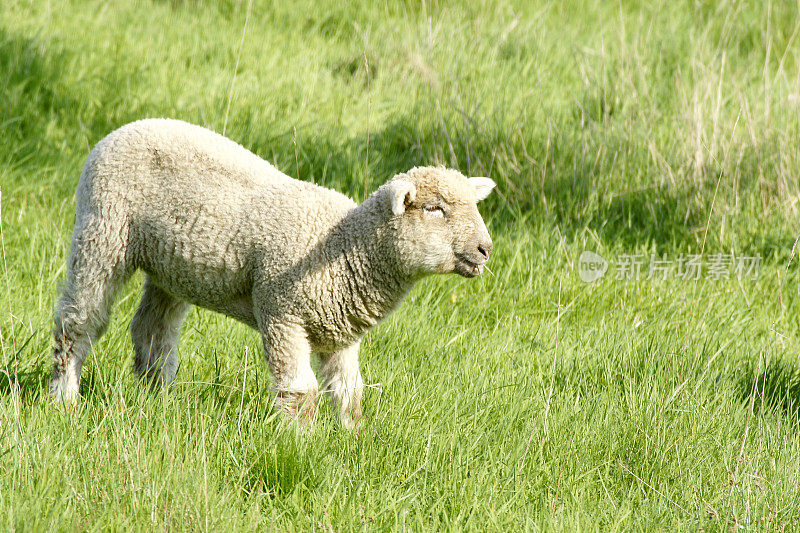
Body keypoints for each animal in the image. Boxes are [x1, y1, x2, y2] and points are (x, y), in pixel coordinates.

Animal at [51, 117, 494, 428]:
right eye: (434, 209)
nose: (485, 249)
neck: (342, 247)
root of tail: (126, 127)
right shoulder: (282, 312)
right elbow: (301, 392)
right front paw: (299, 443)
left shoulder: (340, 332)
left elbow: (349, 392)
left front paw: (354, 438)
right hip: (102, 232)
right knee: (78, 322)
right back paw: (65, 397)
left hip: (169, 268)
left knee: (153, 332)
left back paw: (157, 398)